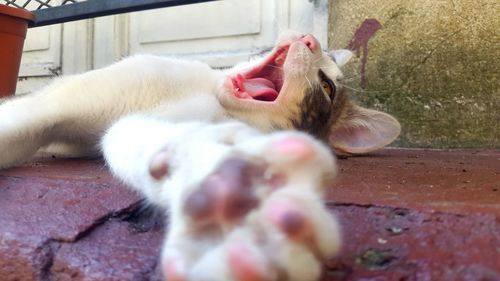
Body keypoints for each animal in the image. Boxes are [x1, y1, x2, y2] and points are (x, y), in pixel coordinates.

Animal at [0, 31, 398, 280]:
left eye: (327, 87)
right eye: (321, 51)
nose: (309, 39)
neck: (209, 92)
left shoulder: (134, 125)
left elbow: (141, 139)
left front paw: (227, 190)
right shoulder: (52, 106)